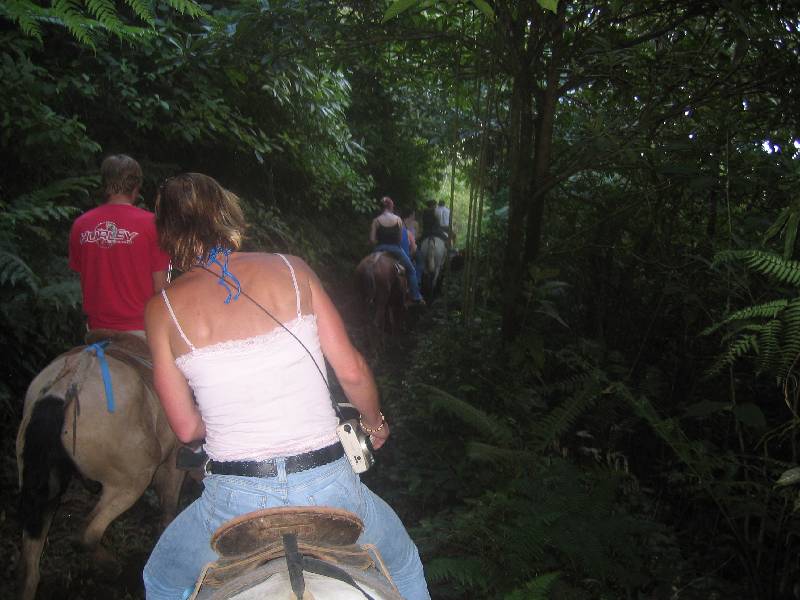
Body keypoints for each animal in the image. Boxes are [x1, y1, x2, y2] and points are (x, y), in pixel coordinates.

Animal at [16, 332, 185, 600]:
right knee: (86, 532)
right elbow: (169, 504)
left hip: (42, 491)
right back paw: (112, 566)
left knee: (29, 572)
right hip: (133, 477)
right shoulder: (175, 456)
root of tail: (60, 390)